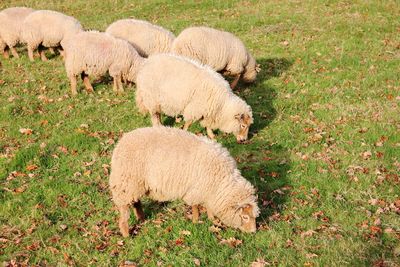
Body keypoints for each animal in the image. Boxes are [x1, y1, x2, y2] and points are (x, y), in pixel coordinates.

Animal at [109, 126, 260, 238]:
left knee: (136, 202)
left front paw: (212, 219)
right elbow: (195, 206)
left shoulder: (208, 190)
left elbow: (208, 206)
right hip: (125, 183)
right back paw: (126, 233)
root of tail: (121, 142)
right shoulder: (196, 189)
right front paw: (196, 221)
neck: (221, 180)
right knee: (124, 210)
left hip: (136, 184)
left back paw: (141, 218)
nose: (254, 232)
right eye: (245, 217)